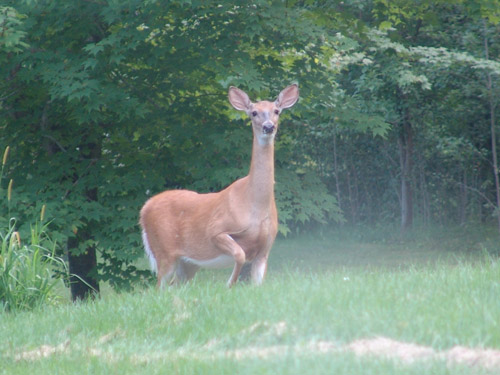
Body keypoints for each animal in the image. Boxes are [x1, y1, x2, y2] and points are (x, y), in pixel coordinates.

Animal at [139, 84, 298, 288]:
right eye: (254, 112)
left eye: (276, 111)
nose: (268, 126)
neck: (254, 206)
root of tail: (145, 207)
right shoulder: (216, 230)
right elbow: (239, 254)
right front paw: (229, 284)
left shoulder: (265, 249)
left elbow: (258, 283)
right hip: (163, 249)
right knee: (159, 287)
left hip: (188, 262)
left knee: (174, 285)